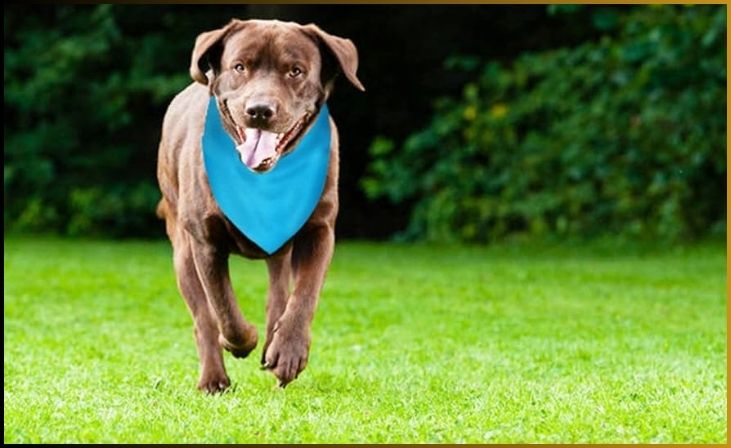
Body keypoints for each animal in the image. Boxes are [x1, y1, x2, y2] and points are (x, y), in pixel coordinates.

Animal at [160, 19, 366, 394]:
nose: (259, 110)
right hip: (181, 246)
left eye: (295, 71)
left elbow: (304, 295)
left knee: (278, 292)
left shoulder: (319, 230)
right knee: (203, 316)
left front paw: (287, 352)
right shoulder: (205, 241)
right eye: (240, 66)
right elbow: (223, 307)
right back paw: (214, 378)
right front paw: (242, 341)